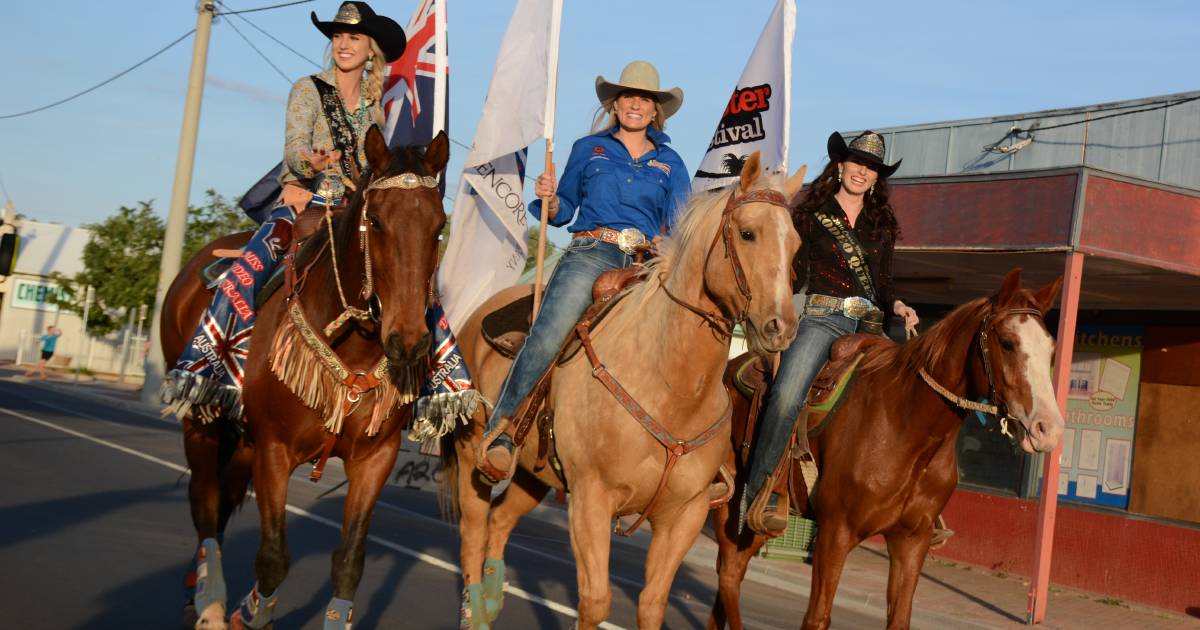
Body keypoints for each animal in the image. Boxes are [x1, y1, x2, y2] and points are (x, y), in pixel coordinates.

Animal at [154, 125, 446, 624]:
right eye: (377, 222)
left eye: (439, 226)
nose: (409, 342)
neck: (352, 343)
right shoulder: (275, 450)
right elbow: (273, 557)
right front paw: (246, 614)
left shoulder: (375, 458)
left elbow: (349, 564)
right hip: (203, 418)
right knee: (206, 504)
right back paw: (209, 601)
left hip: (243, 440)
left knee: (222, 500)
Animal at [436, 153, 801, 628]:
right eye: (748, 233)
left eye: (796, 245)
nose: (781, 327)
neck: (671, 386)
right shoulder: (591, 499)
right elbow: (595, 601)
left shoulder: (684, 517)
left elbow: (652, 604)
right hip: (473, 456)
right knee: (474, 529)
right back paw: (472, 607)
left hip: (534, 476)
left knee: (498, 524)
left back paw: (492, 603)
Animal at [705, 268, 1065, 628]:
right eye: (1007, 343)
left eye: (1051, 348)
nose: (1049, 429)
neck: (905, 427)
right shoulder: (835, 533)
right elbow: (817, 617)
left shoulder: (912, 540)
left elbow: (899, 618)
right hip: (732, 501)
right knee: (730, 575)